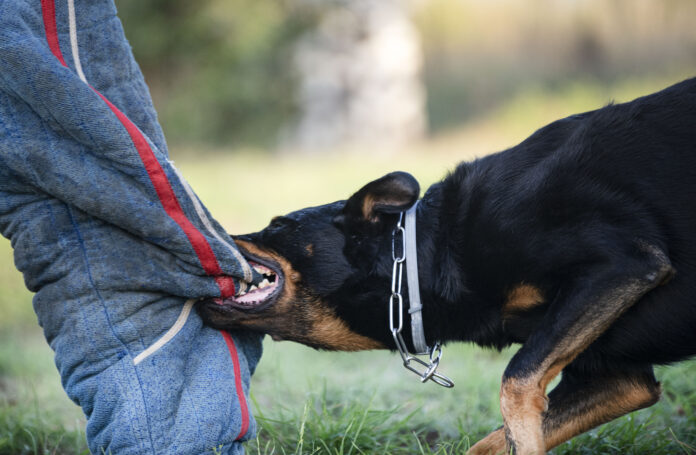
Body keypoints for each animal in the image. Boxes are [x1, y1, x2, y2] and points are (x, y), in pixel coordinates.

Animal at [197, 79, 696, 455]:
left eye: (278, 224)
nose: (212, 229)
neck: (426, 256)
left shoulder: (623, 263)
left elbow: (515, 386)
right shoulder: (621, 378)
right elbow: (491, 441)